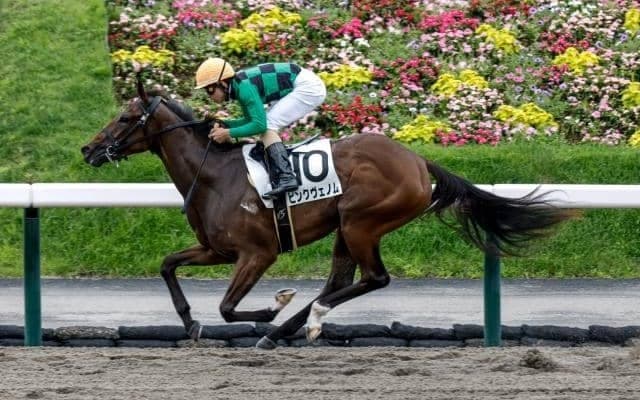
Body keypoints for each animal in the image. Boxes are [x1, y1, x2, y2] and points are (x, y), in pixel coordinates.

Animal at [81, 81, 574, 349]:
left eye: (124, 117)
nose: (88, 149)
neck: (215, 175)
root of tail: (418, 161)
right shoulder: (215, 249)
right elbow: (168, 266)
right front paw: (190, 323)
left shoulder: (258, 253)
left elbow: (227, 307)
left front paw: (272, 305)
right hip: (346, 228)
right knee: (340, 280)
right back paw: (284, 331)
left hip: (362, 222)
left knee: (373, 279)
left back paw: (306, 319)